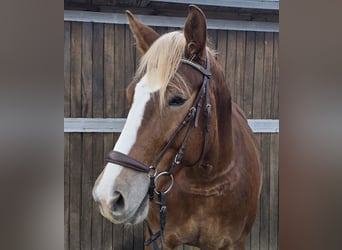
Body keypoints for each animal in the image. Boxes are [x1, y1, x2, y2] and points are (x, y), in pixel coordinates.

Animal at [92, 4, 260, 249]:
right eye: (130, 94)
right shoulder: (158, 239)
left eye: (177, 99)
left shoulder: (235, 243)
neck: (205, 182)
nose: (107, 196)